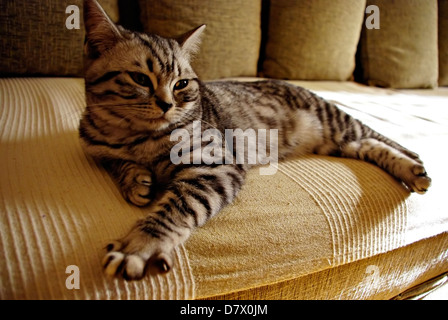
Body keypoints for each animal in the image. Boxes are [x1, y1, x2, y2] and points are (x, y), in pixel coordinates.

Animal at [79, 0, 430, 280]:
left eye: (181, 84)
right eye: (140, 79)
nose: (167, 104)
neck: (136, 138)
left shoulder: (215, 165)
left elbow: (176, 208)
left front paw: (141, 245)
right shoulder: (94, 147)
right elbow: (115, 161)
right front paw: (135, 179)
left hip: (337, 124)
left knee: (380, 138)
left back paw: (414, 167)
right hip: (335, 142)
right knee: (366, 145)